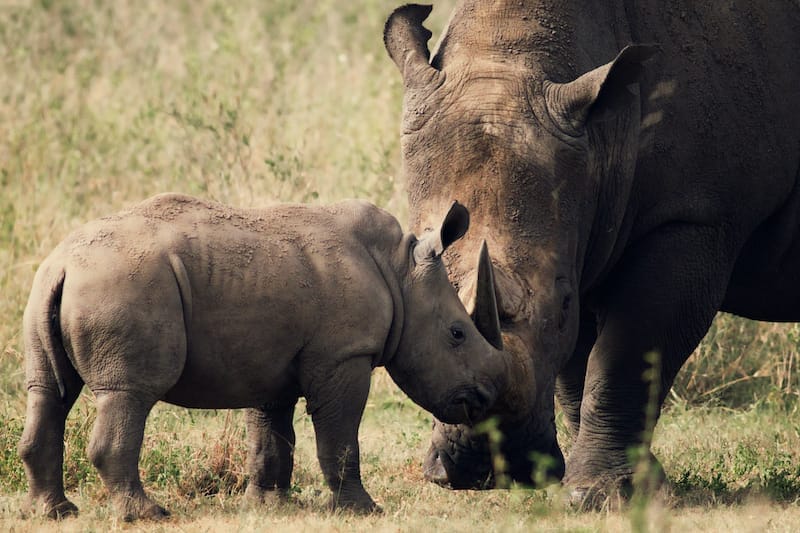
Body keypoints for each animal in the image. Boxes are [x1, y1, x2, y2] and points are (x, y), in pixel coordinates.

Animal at [18, 192, 506, 520]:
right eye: (457, 334)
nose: (486, 397)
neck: (400, 273)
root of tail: (63, 264)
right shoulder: (343, 354)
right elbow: (340, 435)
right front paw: (364, 511)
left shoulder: (268, 356)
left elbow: (271, 433)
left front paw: (268, 505)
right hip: (122, 287)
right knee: (129, 394)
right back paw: (147, 515)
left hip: (52, 288)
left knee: (49, 391)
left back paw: (56, 512)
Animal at [386, 1, 800, 502]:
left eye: (562, 303)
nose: (485, 468)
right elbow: (576, 372)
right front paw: (628, 485)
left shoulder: (694, 215)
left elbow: (625, 352)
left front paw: (599, 495)